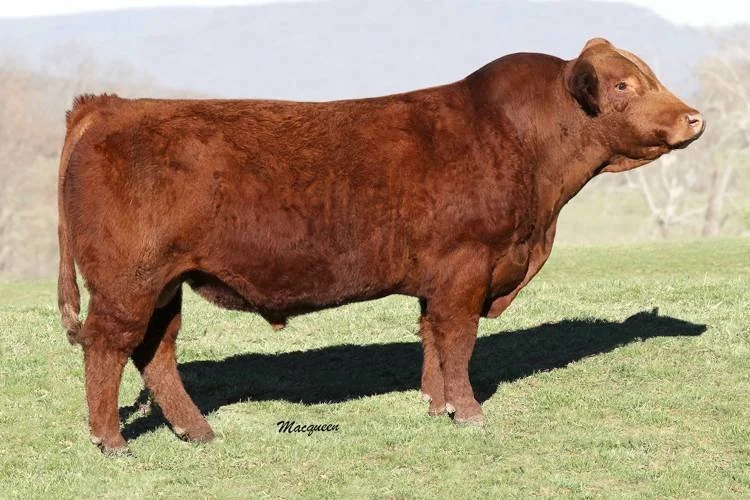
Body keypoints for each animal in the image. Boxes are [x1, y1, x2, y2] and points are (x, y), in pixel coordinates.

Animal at [57, 38, 704, 452]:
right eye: (622, 84)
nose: (695, 118)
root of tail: (108, 106)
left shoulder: (442, 279)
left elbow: (433, 341)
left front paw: (437, 405)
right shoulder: (467, 267)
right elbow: (458, 341)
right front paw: (469, 414)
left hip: (164, 286)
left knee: (155, 352)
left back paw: (197, 432)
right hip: (128, 282)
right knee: (108, 347)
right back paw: (111, 441)